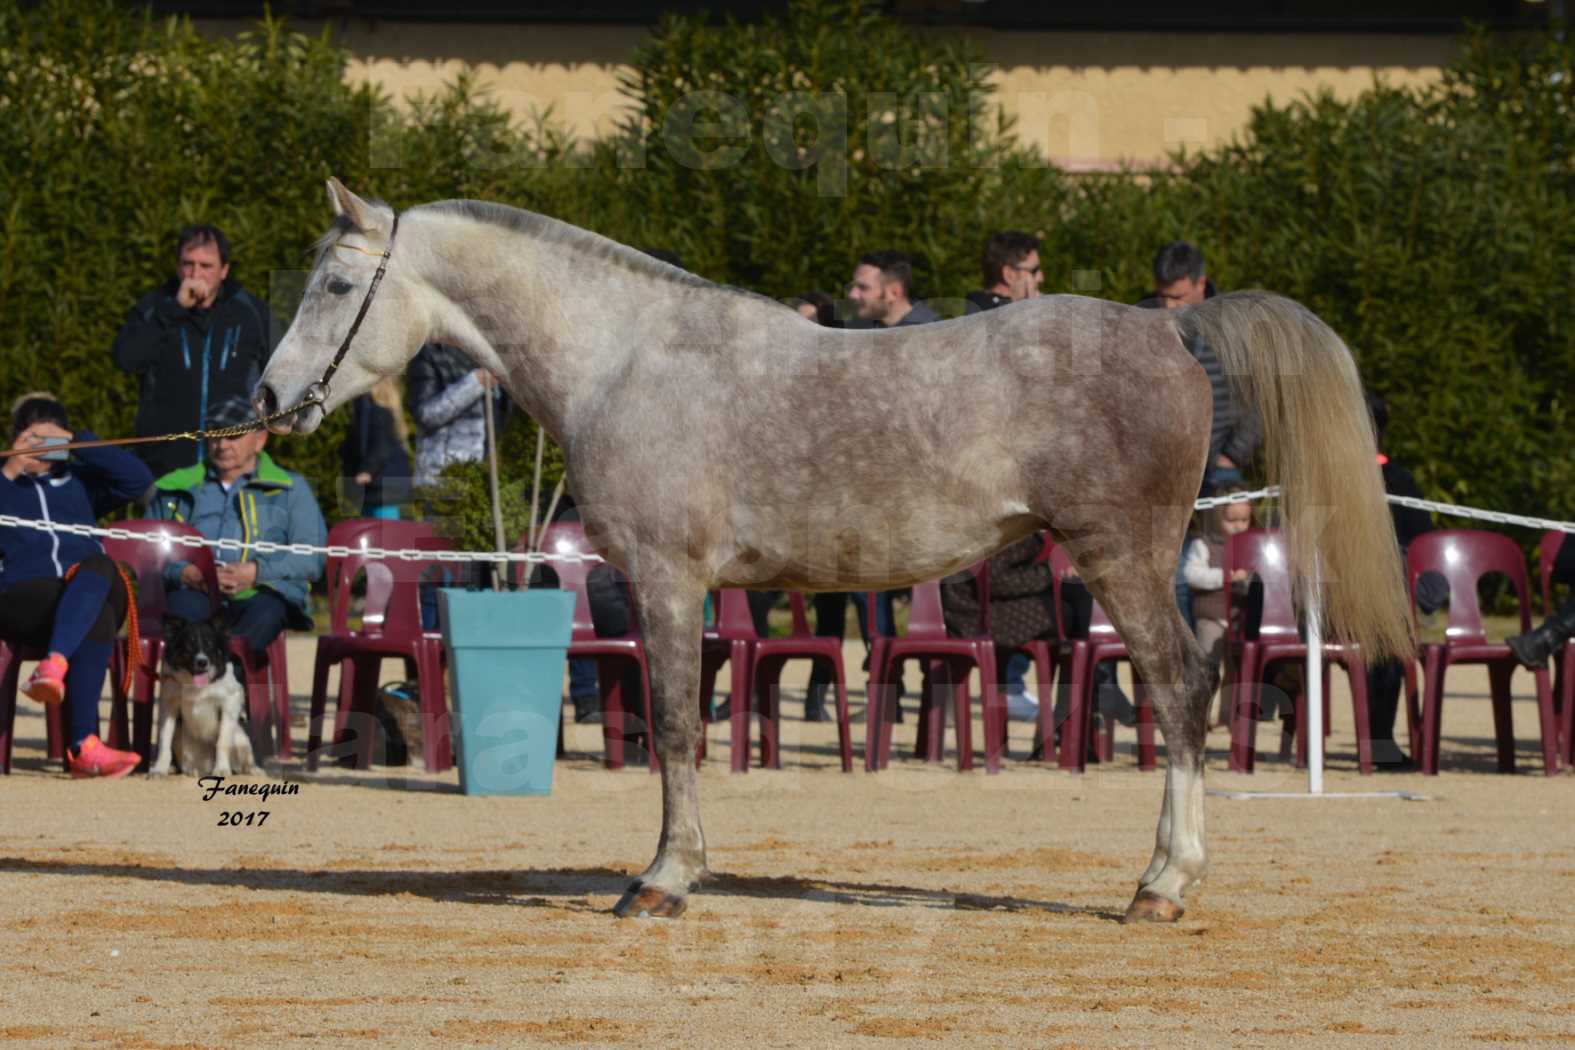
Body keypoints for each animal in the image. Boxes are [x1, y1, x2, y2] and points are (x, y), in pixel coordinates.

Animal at [148, 610, 259, 777]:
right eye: (189, 645)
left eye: (210, 644)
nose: (202, 662)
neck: (195, 685)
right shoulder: (168, 704)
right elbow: (164, 740)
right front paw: (159, 769)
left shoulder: (231, 700)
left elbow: (222, 740)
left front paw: (221, 769)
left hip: (240, 737)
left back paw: (251, 769)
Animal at [261, 181, 1417, 919]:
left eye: (335, 286)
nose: (267, 398)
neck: (627, 359)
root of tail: (1168, 330)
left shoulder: (668, 582)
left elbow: (673, 727)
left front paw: (663, 881)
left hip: (1120, 558)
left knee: (1181, 691)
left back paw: (1162, 885)